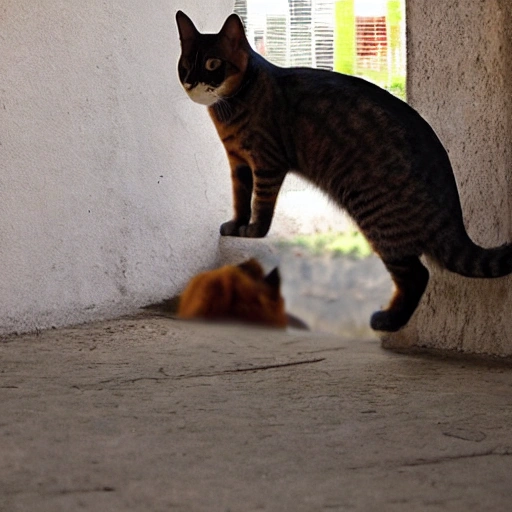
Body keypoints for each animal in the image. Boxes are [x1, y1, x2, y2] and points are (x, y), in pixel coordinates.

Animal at [176, 12, 512, 334]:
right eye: (185, 64)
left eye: (212, 63)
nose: (191, 82)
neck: (232, 105)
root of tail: (452, 213)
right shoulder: (239, 164)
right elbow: (240, 199)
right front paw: (236, 225)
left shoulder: (267, 162)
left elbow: (260, 203)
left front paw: (254, 230)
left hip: (377, 219)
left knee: (418, 275)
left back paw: (389, 320)